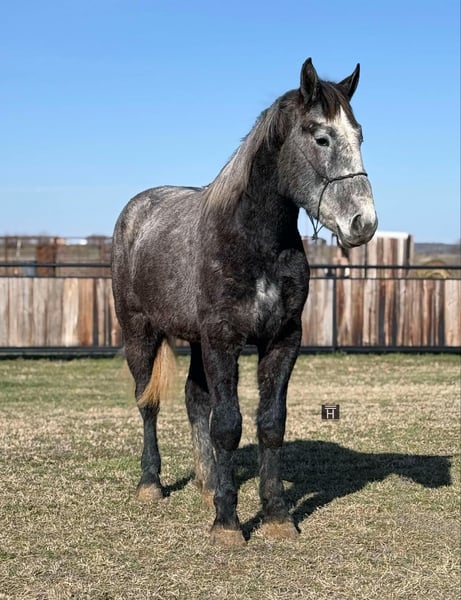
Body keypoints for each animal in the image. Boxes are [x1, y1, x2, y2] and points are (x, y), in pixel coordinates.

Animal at [111, 58, 377, 547]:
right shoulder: (223, 340)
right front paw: (228, 524)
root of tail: (135, 211)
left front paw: (275, 516)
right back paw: (151, 484)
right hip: (140, 333)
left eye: (359, 135)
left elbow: (269, 424)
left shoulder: (282, 340)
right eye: (321, 137)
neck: (254, 242)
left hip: (195, 342)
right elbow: (229, 426)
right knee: (148, 403)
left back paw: (206, 483)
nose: (362, 223)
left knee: (195, 401)